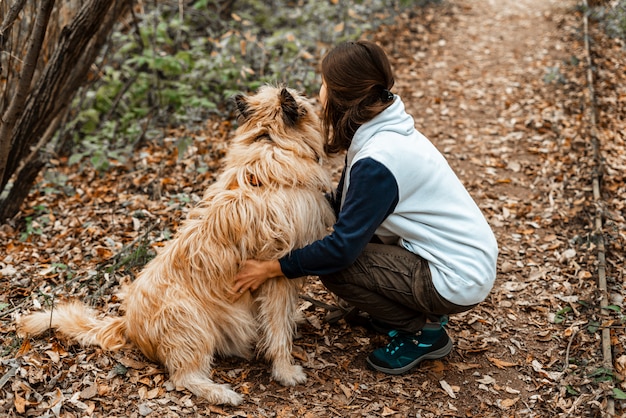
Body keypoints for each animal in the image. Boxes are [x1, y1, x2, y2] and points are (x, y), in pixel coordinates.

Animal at [15, 85, 336, 404]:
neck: (270, 143)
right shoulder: (275, 273)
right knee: (184, 376)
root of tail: (128, 324)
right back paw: (220, 393)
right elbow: (278, 328)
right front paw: (285, 370)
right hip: (191, 323)